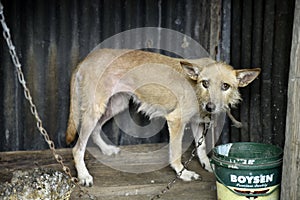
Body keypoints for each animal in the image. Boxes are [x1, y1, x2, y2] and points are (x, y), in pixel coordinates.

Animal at [66, 48, 260, 186]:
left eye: (225, 86)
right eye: (205, 83)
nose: (210, 107)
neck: (196, 90)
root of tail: (86, 60)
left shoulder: (197, 122)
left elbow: (202, 147)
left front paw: (206, 164)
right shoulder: (176, 121)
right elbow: (176, 152)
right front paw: (182, 173)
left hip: (116, 105)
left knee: (96, 129)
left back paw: (106, 149)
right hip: (95, 110)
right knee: (77, 148)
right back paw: (84, 175)